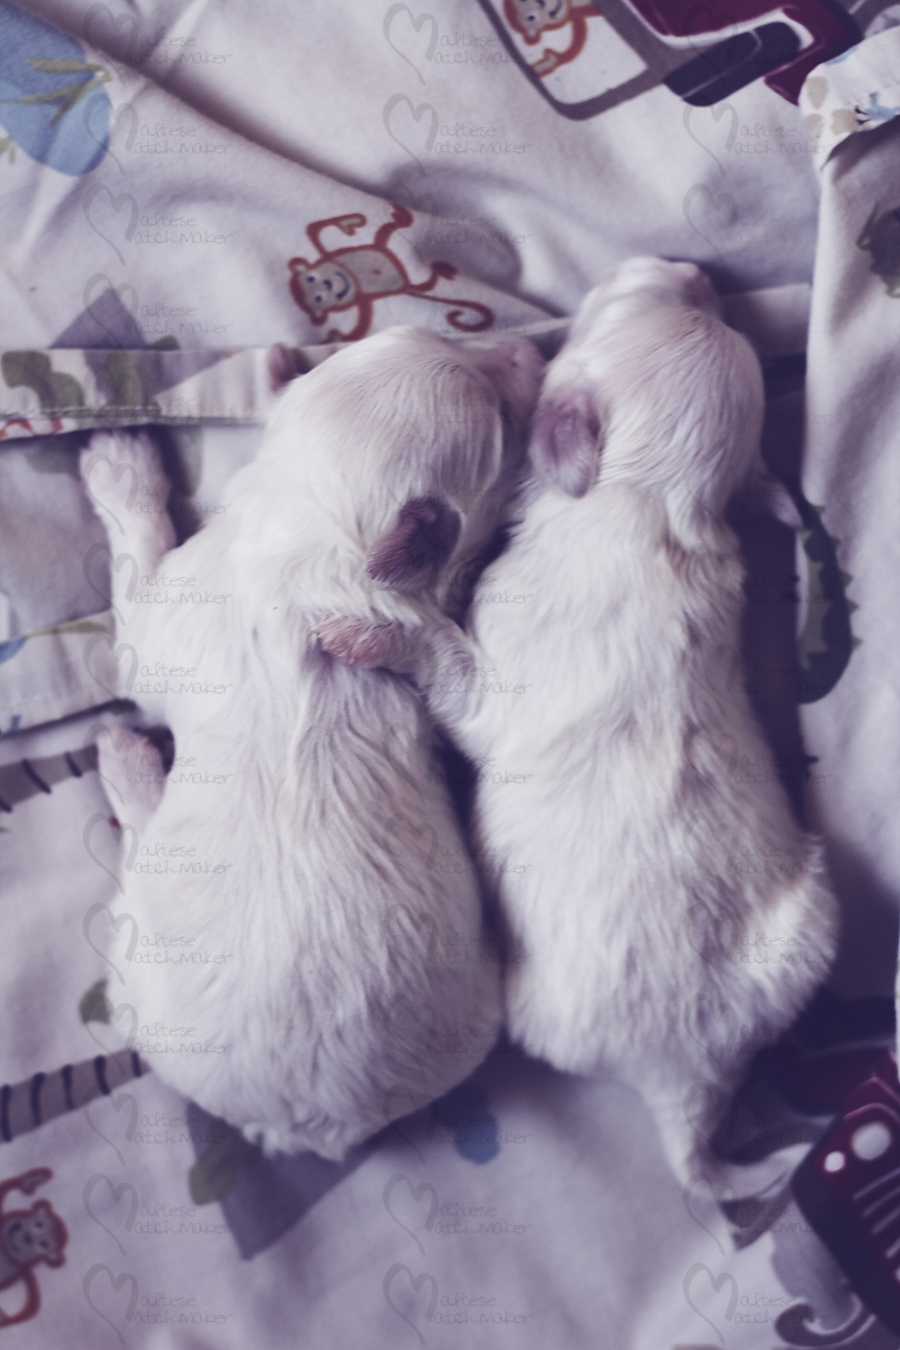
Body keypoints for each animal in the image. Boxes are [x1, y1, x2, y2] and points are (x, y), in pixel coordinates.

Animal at [80, 326, 545, 1161]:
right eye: (500, 413)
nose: (530, 346)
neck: (315, 529)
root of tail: (299, 1126)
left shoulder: (165, 616)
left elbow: (137, 585)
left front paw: (121, 468)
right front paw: (273, 373)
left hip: (132, 962)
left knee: (136, 846)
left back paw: (127, 765)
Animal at [319, 260, 841, 1182]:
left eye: (627, 303)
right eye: (686, 300)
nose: (697, 269)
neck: (651, 500)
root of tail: (684, 1082)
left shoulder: (496, 675)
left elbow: (448, 660)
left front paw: (372, 629)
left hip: (527, 1003)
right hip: (811, 930)